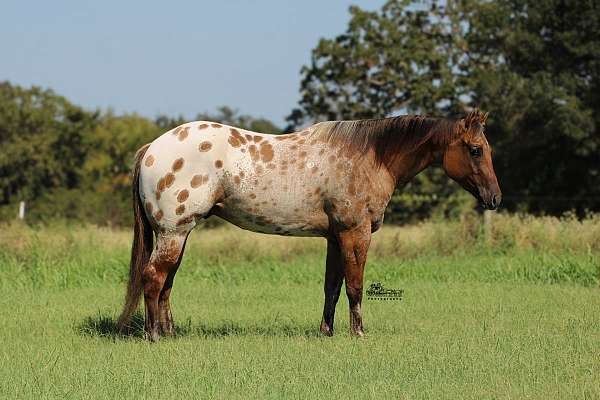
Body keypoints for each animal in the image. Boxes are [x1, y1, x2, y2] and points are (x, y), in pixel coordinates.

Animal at [115, 108, 500, 340]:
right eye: (476, 149)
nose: (495, 198)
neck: (371, 157)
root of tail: (152, 148)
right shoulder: (355, 233)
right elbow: (355, 287)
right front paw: (358, 334)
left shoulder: (334, 237)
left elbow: (332, 286)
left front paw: (326, 331)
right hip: (173, 233)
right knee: (154, 277)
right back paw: (153, 335)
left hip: (178, 235)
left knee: (166, 283)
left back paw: (169, 333)